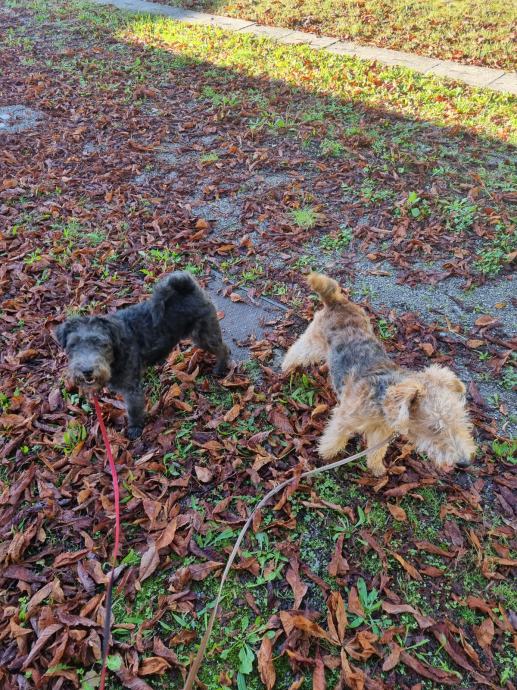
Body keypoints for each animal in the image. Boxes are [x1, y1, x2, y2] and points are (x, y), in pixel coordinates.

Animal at [56, 271, 230, 439]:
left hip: (203, 336)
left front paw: (134, 429)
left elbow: (134, 411)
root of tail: (188, 286)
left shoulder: (131, 390)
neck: (117, 349)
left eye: (100, 343)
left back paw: (220, 369)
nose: (87, 371)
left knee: (224, 348)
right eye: (72, 345)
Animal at [282, 273, 476, 476]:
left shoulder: (381, 431)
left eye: (461, 419)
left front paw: (377, 469)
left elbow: (377, 451)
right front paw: (326, 455)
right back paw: (285, 368)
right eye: (434, 427)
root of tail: (337, 301)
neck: (383, 402)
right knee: (295, 352)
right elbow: (334, 438)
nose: (464, 463)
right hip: (312, 341)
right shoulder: (344, 419)